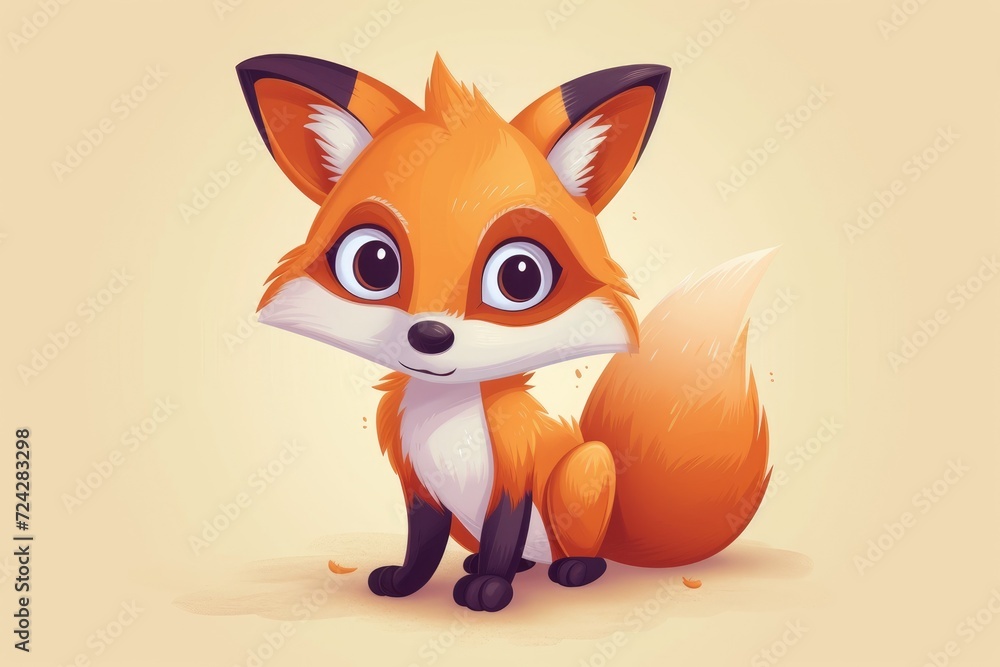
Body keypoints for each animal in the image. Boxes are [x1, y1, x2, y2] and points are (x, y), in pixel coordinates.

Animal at [236, 53, 772, 612]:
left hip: (586, 468)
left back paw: (572, 569)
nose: (430, 335)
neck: (446, 418)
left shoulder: (515, 473)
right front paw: (406, 584)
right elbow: (422, 548)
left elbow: (502, 533)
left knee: (581, 552)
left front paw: (490, 591)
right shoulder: (420, 486)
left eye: (520, 276)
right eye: (374, 264)